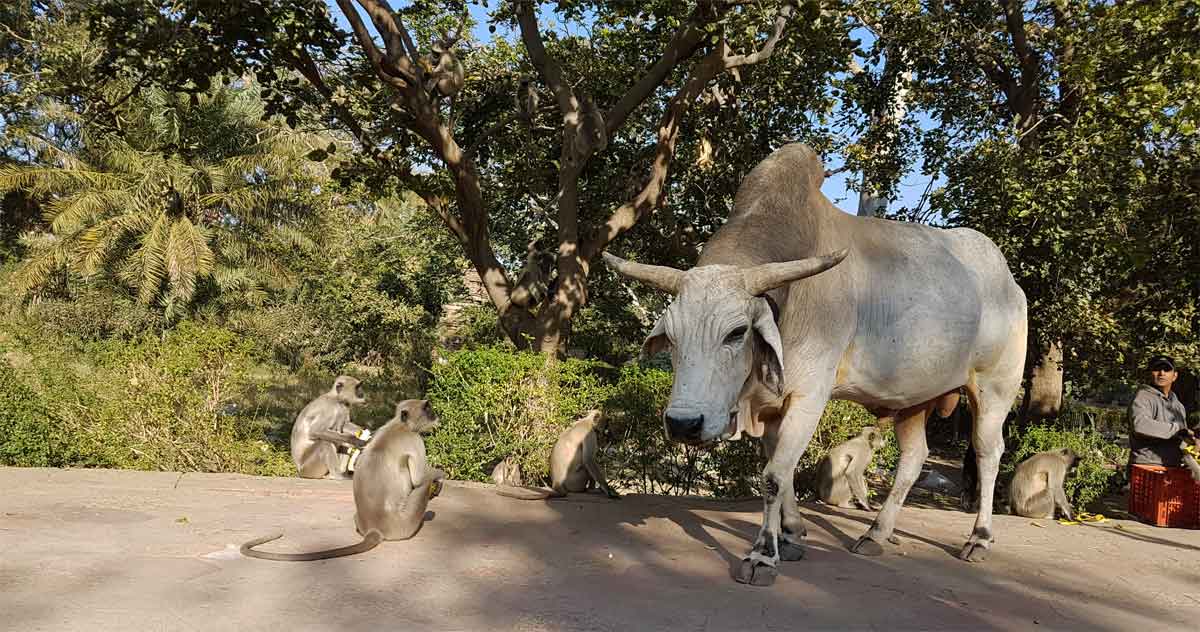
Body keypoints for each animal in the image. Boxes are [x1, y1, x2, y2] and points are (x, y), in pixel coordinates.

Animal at [242, 400, 445, 561]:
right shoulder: (414, 439)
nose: (434, 413)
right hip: (405, 522)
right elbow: (419, 479)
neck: (400, 425)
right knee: (422, 487)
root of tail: (374, 528)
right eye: (427, 408)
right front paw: (439, 474)